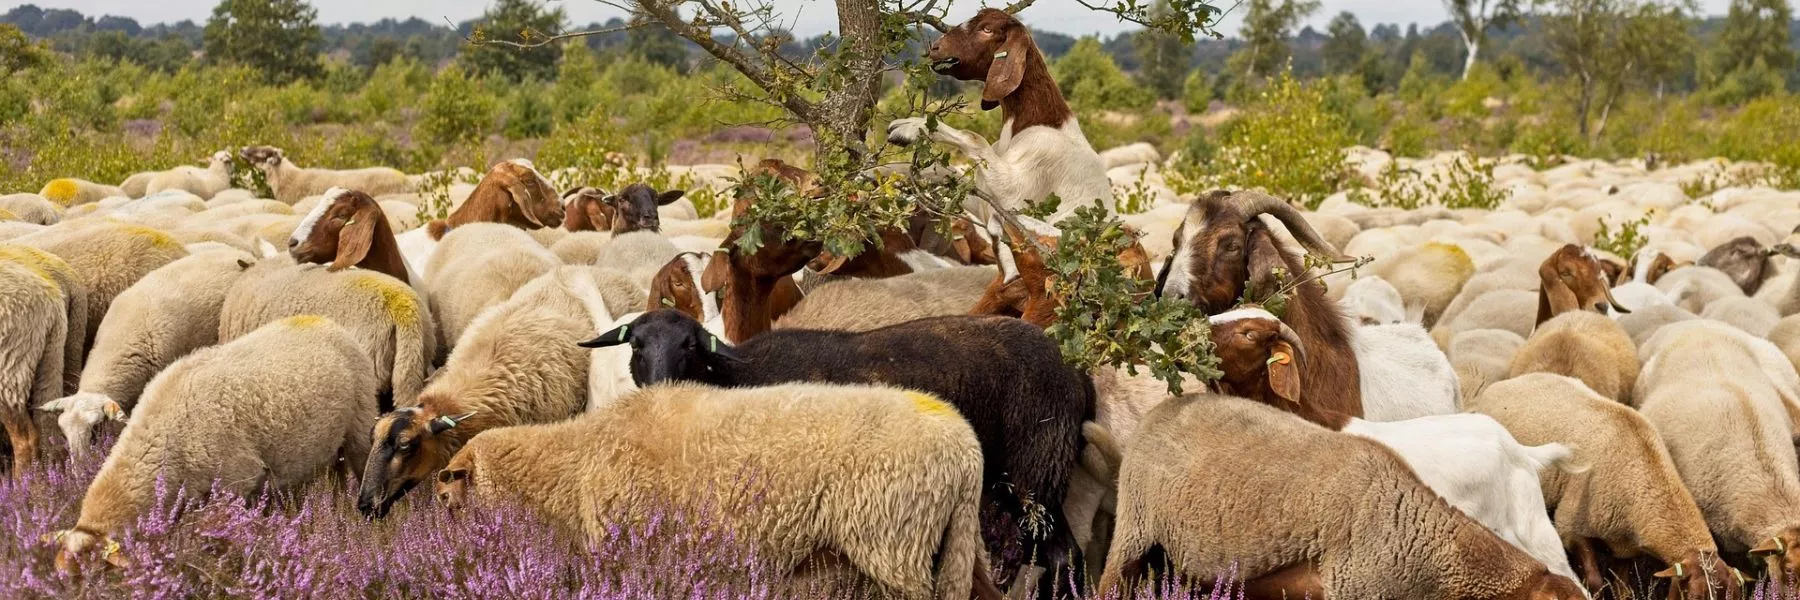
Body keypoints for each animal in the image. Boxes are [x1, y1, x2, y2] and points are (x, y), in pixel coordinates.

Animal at [46, 316, 378, 571]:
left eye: (95, 571)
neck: (165, 439)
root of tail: (329, 323)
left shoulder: (239, 481)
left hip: (360, 427)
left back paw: (366, 526)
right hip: (332, 446)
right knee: (335, 478)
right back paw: (334, 512)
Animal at [433, 383, 993, 599]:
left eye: (445, 500)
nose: (459, 558)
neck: (574, 463)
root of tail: (966, 447)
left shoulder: (633, 549)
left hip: (893, 541)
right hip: (960, 542)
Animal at [581, 309, 1094, 593]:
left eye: (689, 345)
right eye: (636, 344)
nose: (659, 390)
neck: (734, 378)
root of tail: (1073, 369)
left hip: (1037, 470)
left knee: (1062, 555)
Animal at [885, 9, 1112, 225]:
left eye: (987, 29)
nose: (936, 48)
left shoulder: (1019, 194)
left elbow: (973, 137)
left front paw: (909, 127)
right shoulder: (983, 199)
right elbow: (946, 172)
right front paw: (890, 169)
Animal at [1470, 374, 1746, 599]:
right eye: (1695, 596)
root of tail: (1510, 380)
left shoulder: (1623, 546)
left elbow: (1622, 588)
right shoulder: (1571, 527)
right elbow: (1594, 582)